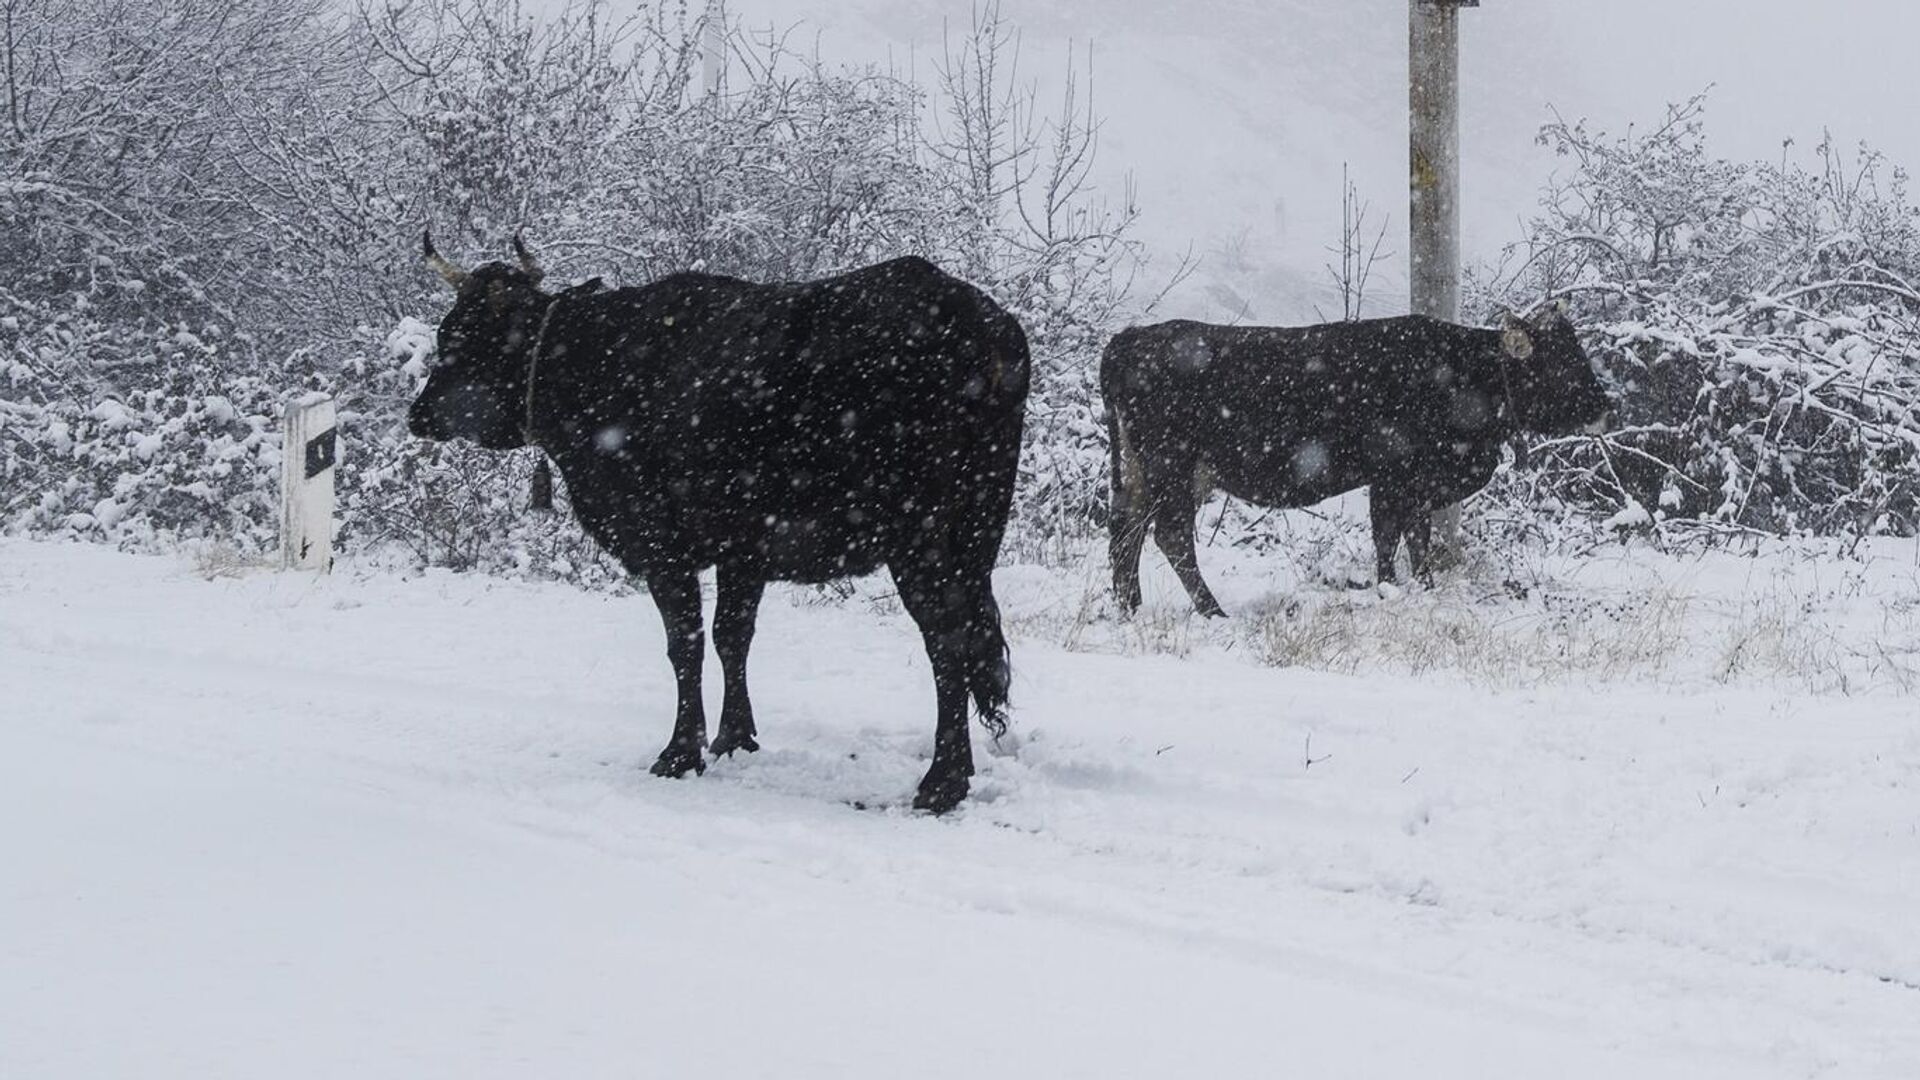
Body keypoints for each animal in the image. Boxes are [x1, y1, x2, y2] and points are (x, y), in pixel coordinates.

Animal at [410, 237, 1029, 807]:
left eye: (456, 335)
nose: (418, 414)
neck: (595, 366)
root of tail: (978, 315)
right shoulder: (743, 546)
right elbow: (733, 636)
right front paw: (735, 738)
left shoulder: (661, 542)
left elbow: (684, 643)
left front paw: (680, 752)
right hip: (979, 530)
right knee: (974, 636)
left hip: (918, 536)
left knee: (946, 639)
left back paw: (943, 781)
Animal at [1105, 305, 1612, 614]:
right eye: (1559, 361)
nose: (1604, 406)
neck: (1461, 376)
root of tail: (1131, 338)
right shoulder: (1392, 477)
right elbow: (1389, 536)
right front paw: (1390, 589)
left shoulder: (1416, 485)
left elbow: (1415, 537)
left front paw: (1421, 587)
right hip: (1172, 468)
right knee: (1170, 537)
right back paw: (1212, 612)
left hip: (1144, 472)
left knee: (1126, 531)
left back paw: (1130, 607)